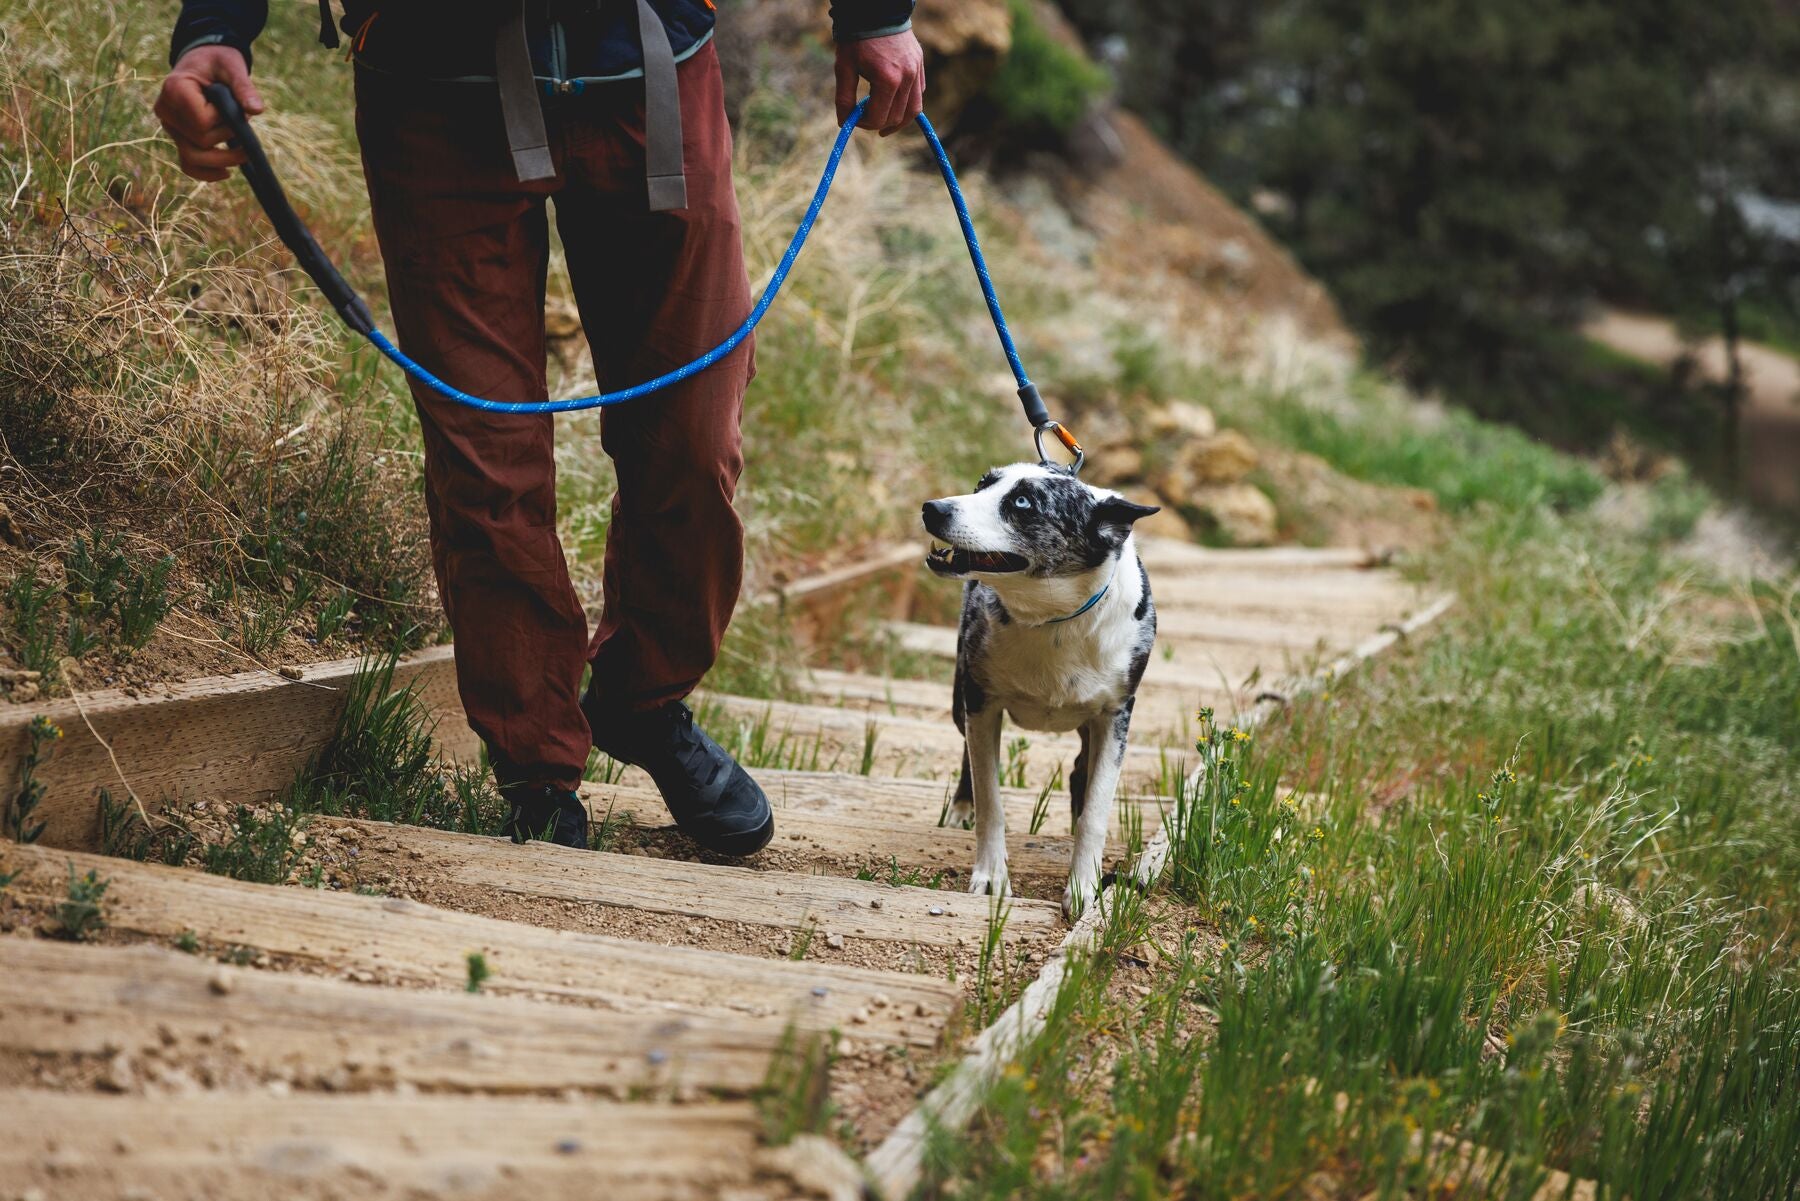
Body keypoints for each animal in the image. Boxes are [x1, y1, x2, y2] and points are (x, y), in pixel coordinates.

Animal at [921, 464, 1159, 914]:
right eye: (982, 485)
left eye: (1022, 503)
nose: (932, 508)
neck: (1052, 619)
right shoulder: (981, 701)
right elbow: (990, 798)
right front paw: (991, 877)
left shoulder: (1116, 715)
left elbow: (1096, 811)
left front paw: (1084, 886)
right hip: (961, 696)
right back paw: (961, 807)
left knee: (1081, 769)